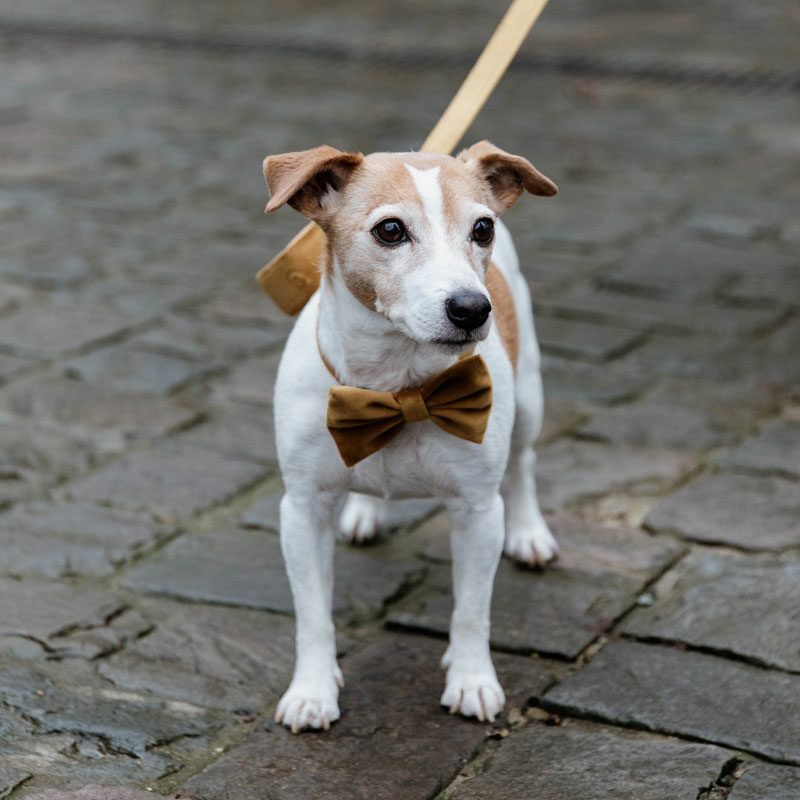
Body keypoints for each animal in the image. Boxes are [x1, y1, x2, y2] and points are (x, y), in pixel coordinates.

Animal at [260, 142, 556, 732]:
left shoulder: (478, 511)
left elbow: (471, 612)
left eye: (482, 228)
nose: (472, 308)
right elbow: (313, 616)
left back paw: (530, 533)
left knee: (523, 465)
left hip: (530, 399)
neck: (397, 391)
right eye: (391, 230)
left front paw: (472, 680)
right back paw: (365, 514)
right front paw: (312, 692)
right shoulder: (302, 510)